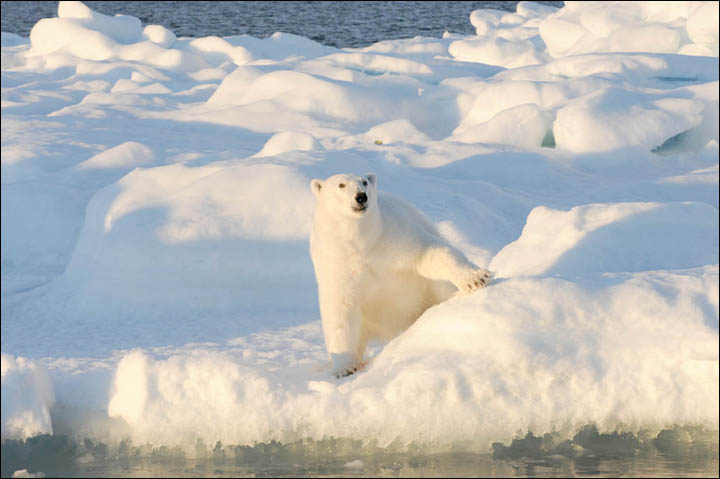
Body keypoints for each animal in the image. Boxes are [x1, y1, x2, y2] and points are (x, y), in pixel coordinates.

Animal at [306, 172, 492, 378]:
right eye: (341, 185)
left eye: (364, 182)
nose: (361, 197)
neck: (361, 243)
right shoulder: (336, 261)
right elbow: (340, 310)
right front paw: (344, 367)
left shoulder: (392, 235)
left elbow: (428, 253)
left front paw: (474, 279)